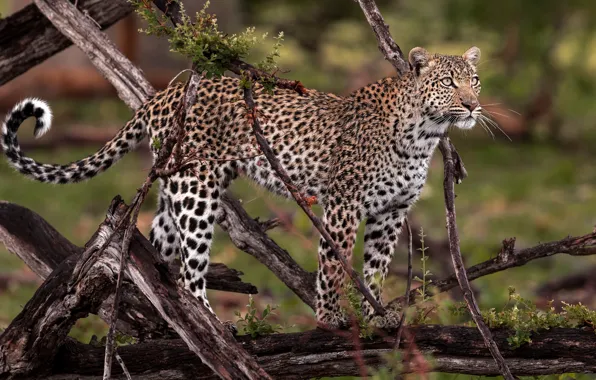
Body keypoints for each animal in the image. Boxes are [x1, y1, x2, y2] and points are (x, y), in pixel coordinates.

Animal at [0, 45, 482, 330]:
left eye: (473, 80)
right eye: (447, 82)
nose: (473, 105)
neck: (424, 135)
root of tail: (162, 95)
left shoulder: (391, 212)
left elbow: (376, 269)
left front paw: (377, 317)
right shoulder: (343, 205)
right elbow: (334, 266)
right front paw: (330, 318)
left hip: (173, 191)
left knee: (160, 258)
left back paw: (167, 325)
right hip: (196, 192)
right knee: (189, 274)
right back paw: (215, 325)